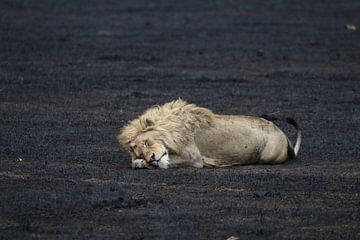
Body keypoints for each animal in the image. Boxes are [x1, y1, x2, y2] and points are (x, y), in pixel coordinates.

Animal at [118, 99, 300, 169]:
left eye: (147, 142)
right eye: (140, 152)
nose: (151, 158)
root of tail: (282, 133)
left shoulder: (194, 158)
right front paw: (140, 162)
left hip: (269, 155)